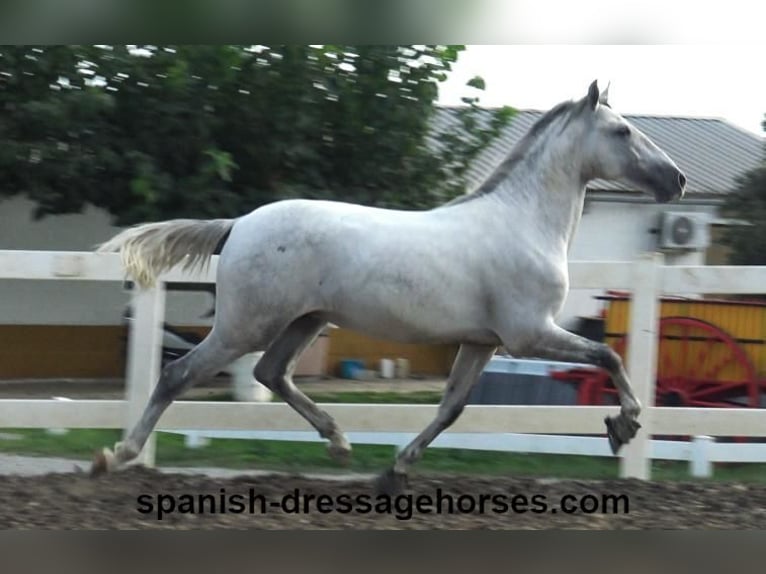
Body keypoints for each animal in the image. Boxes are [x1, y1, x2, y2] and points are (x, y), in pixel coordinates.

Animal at [93, 82, 688, 496]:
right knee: (179, 374)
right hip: (248, 324)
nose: (677, 180)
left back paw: (339, 443)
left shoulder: (482, 341)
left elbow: (452, 408)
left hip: (304, 320)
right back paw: (115, 456)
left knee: (271, 373)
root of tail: (239, 224)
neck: (524, 222)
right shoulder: (529, 334)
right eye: (622, 132)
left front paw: (395, 471)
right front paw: (623, 425)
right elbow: (609, 355)